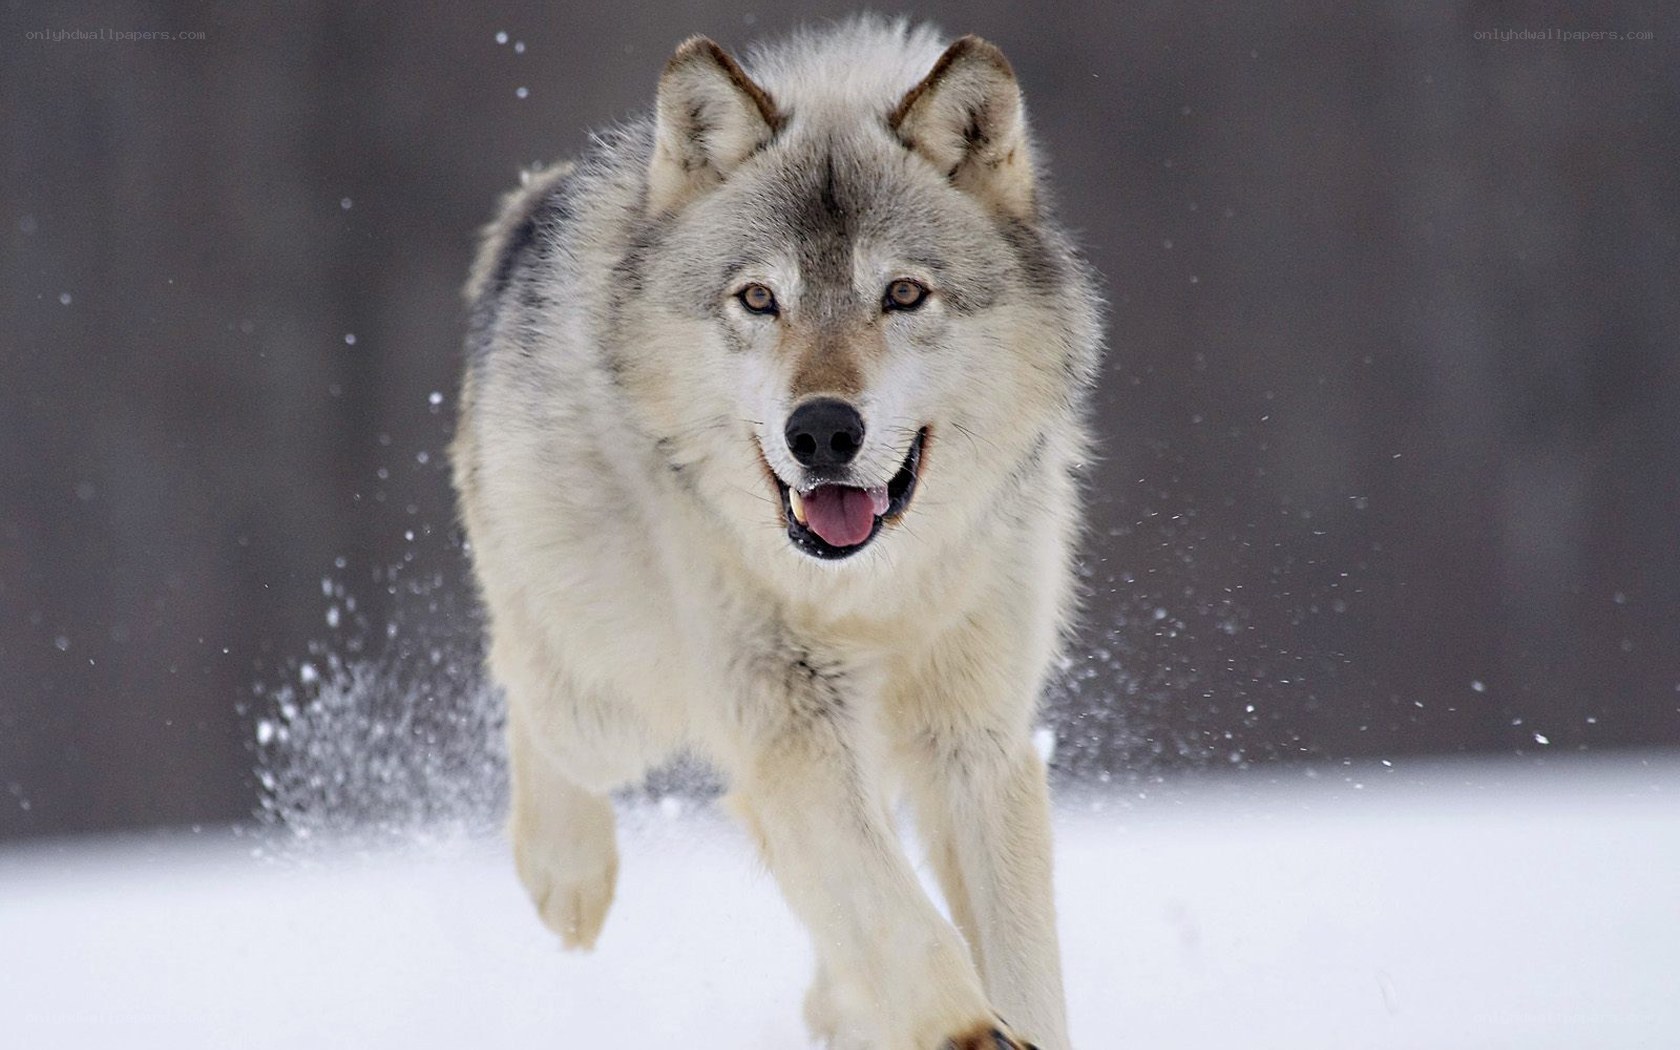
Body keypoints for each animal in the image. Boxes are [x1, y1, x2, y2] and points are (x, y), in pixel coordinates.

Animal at [451, 17, 1102, 1050]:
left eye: (904, 294)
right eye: (759, 299)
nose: (823, 431)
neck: (870, 591)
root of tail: (532, 206)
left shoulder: (975, 738)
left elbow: (1016, 955)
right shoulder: (788, 720)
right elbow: (902, 922)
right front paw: (965, 1027)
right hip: (611, 702)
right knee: (527, 688)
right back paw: (568, 879)